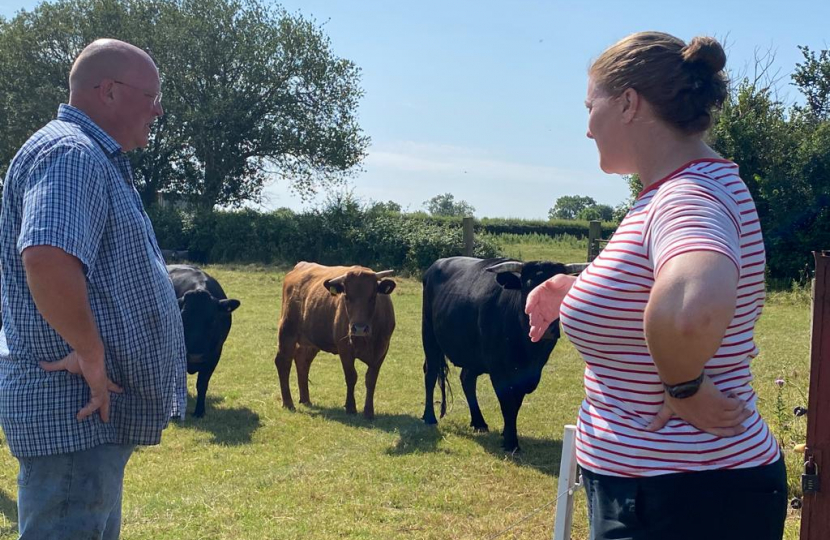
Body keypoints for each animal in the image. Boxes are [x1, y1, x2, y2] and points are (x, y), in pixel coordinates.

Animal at [169, 264, 240, 418]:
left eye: (213, 320)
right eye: (183, 319)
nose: (195, 357)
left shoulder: (215, 354)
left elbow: (202, 384)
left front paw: (199, 411)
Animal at [274, 262, 398, 418]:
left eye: (373, 296)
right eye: (347, 297)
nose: (359, 328)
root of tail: (300, 266)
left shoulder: (382, 350)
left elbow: (371, 379)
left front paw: (369, 411)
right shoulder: (345, 348)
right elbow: (351, 376)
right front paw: (350, 407)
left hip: (311, 341)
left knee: (302, 361)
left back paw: (306, 399)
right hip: (287, 331)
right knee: (283, 362)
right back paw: (288, 403)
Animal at [422, 258, 584, 452]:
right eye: (527, 287)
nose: (547, 329)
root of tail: (437, 264)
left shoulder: (527, 374)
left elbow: (516, 404)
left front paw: (507, 433)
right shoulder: (498, 370)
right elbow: (507, 404)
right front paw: (511, 442)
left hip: (473, 354)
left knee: (467, 379)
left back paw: (479, 422)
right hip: (429, 337)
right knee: (431, 374)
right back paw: (429, 417)